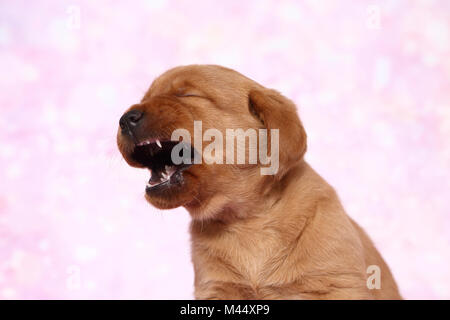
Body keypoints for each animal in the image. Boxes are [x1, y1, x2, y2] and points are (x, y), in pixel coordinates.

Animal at [116, 63, 400, 298]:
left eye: (186, 95)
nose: (125, 119)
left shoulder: (336, 284)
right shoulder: (217, 289)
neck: (246, 223)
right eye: (144, 99)